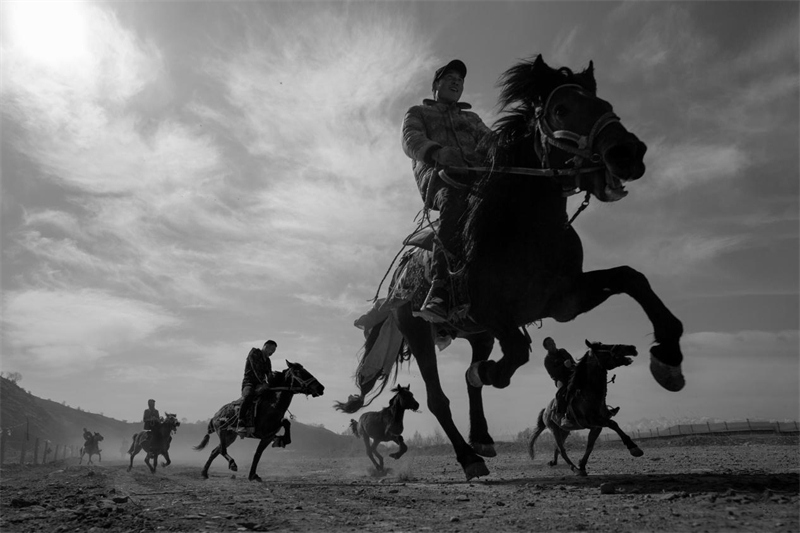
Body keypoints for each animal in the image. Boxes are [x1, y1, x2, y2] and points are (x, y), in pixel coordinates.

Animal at [195, 360, 324, 480]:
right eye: (299, 372)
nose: (321, 388)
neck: (272, 405)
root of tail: (215, 415)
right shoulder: (263, 432)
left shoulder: (267, 437)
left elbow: (258, 453)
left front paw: (253, 475)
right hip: (222, 432)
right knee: (222, 450)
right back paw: (232, 464)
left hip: (230, 437)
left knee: (215, 451)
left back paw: (204, 473)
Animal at [532, 340, 644, 474]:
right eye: (604, 346)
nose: (632, 348)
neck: (589, 393)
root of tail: (545, 411)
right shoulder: (594, 421)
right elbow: (613, 424)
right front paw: (634, 448)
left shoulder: (596, 427)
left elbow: (590, 446)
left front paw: (582, 465)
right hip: (554, 430)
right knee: (562, 449)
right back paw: (574, 469)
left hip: (564, 430)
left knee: (558, 448)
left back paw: (556, 462)